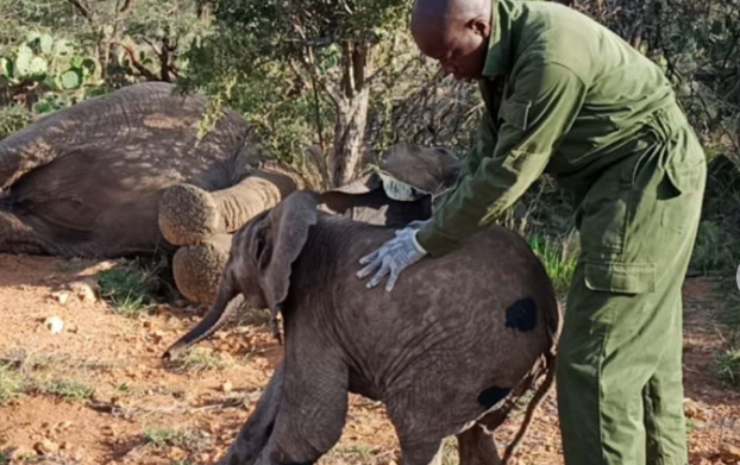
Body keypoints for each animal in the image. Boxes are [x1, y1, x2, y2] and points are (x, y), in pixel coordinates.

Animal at [164, 188, 561, 465]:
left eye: (232, 258)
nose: (167, 356)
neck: (301, 219)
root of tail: (550, 311)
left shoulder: (314, 302)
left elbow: (313, 426)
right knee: (478, 435)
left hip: (463, 360)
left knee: (419, 434)